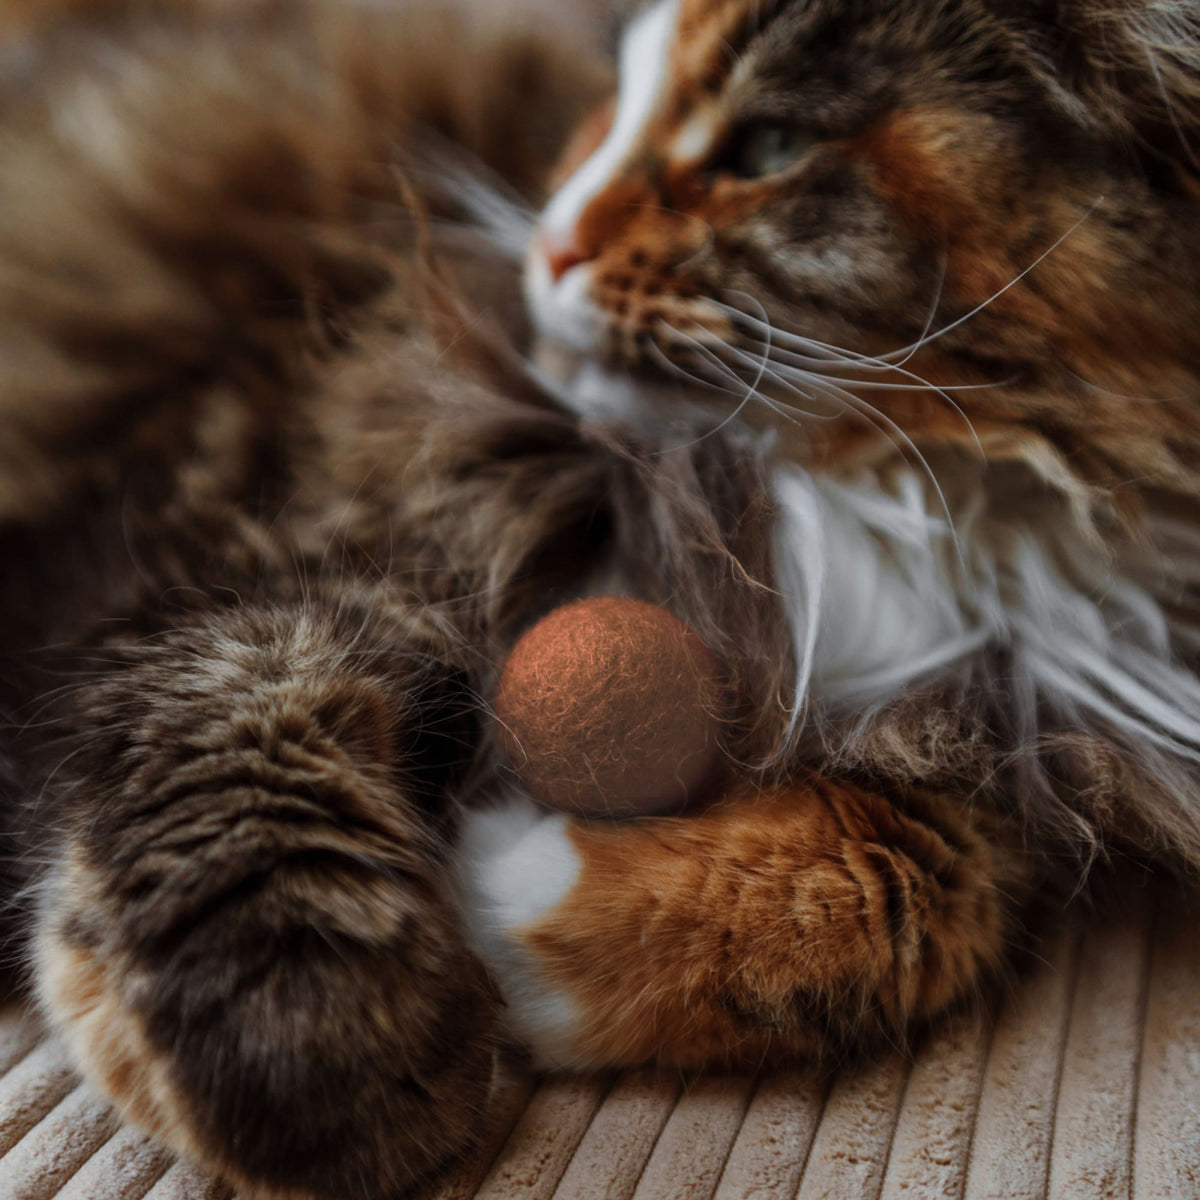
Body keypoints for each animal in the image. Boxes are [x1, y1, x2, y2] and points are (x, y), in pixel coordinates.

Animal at [0, 2, 1195, 1200]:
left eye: (768, 147)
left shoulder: (1002, 744)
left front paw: (508, 907)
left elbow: (931, 885)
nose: (551, 241)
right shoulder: (283, 536)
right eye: (613, 102)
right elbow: (235, 707)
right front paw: (314, 1048)